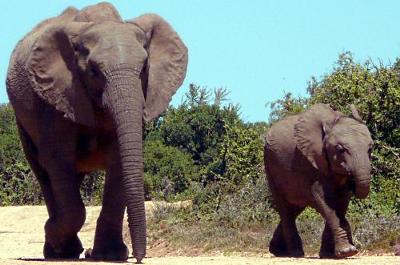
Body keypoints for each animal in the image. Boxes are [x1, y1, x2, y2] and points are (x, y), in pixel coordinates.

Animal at [5, 2, 188, 262]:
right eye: (93, 71)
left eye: (144, 68)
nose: (139, 256)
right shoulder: (57, 97)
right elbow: (58, 159)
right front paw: (56, 233)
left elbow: (119, 159)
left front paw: (109, 255)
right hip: (24, 118)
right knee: (44, 172)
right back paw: (59, 250)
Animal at [264, 103, 374, 258]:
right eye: (340, 149)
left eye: (370, 148)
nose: (352, 181)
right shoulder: (312, 163)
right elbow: (324, 200)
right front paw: (347, 251)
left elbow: (341, 203)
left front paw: (329, 255)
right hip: (270, 166)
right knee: (285, 209)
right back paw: (295, 253)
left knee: (295, 208)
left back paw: (277, 251)